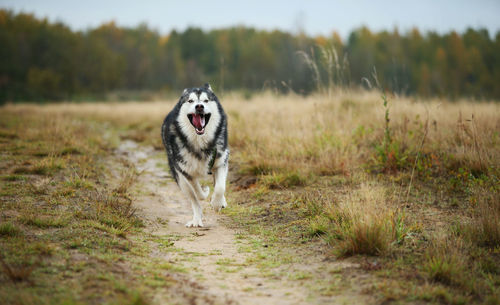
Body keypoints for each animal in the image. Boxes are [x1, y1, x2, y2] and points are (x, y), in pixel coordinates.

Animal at [161, 82, 229, 226]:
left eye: (206, 100)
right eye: (190, 101)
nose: (199, 106)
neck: (199, 142)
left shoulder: (221, 161)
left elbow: (220, 187)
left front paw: (217, 203)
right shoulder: (186, 172)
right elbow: (198, 193)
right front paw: (205, 192)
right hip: (180, 178)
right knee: (193, 199)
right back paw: (196, 220)